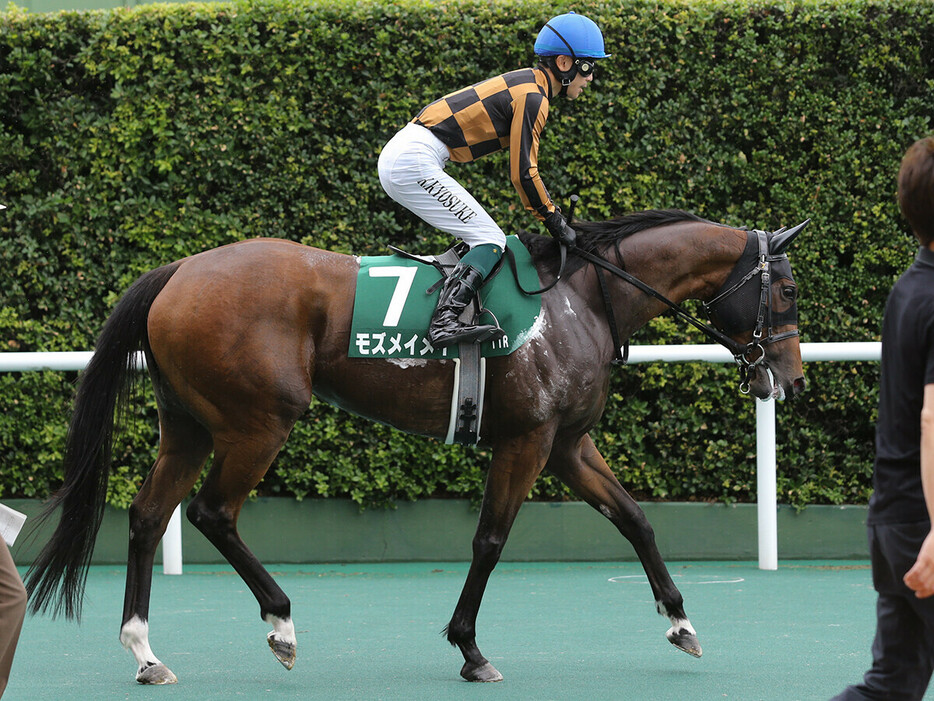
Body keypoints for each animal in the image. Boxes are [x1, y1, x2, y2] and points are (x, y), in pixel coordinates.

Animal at [25, 208, 808, 684]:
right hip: (260, 421)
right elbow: (491, 539)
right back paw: (280, 622)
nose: (791, 379)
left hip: (188, 424)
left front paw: (681, 620)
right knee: (212, 512)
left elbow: (636, 518)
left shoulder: (567, 444)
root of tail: (179, 270)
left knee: (148, 514)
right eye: (787, 291)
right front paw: (470, 647)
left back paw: (145, 650)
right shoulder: (527, 440)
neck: (580, 298)